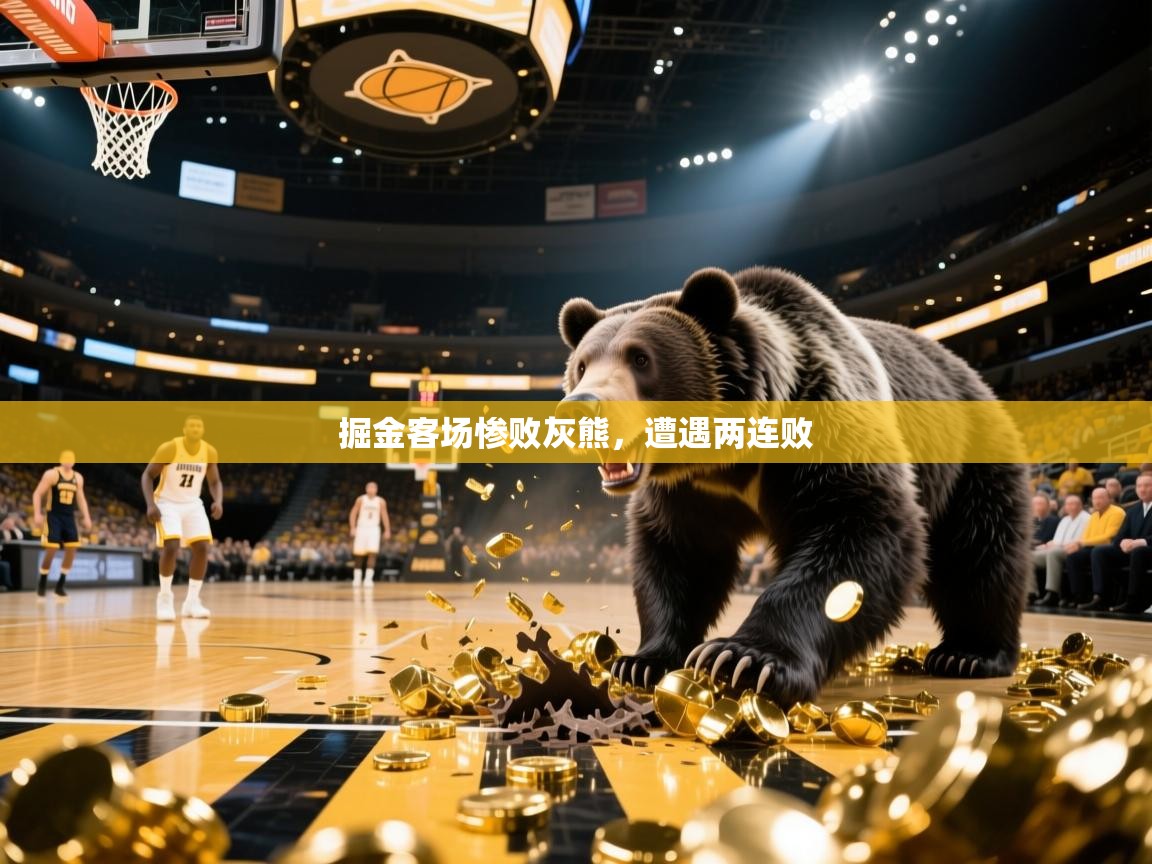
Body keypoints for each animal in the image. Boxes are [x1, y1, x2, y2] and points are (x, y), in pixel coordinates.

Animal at [557, 266, 1031, 706]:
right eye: (582, 365)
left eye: (641, 358)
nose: (579, 408)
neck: (730, 462)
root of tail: (969, 371)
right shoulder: (689, 492)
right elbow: (679, 554)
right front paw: (641, 660)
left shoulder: (826, 430)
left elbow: (856, 532)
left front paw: (743, 659)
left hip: (970, 459)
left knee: (978, 550)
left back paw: (968, 653)